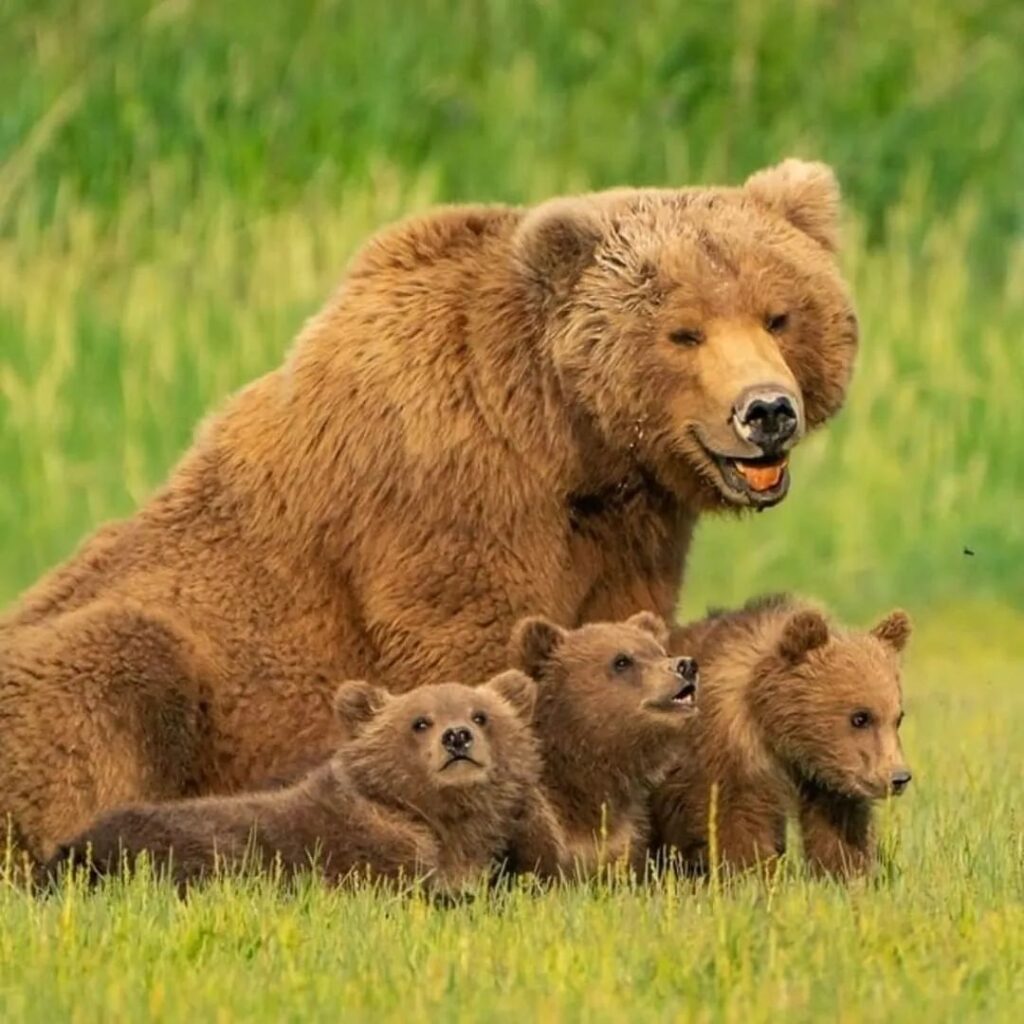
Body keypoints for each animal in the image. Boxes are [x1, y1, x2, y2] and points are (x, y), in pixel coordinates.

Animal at [652, 595, 912, 877]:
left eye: (898, 717)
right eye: (860, 717)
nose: (898, 777)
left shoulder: (828, 773)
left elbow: (839, 825)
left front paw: (848, 872)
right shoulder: (723, 754)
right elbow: (735, 819)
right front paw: (758, 873)